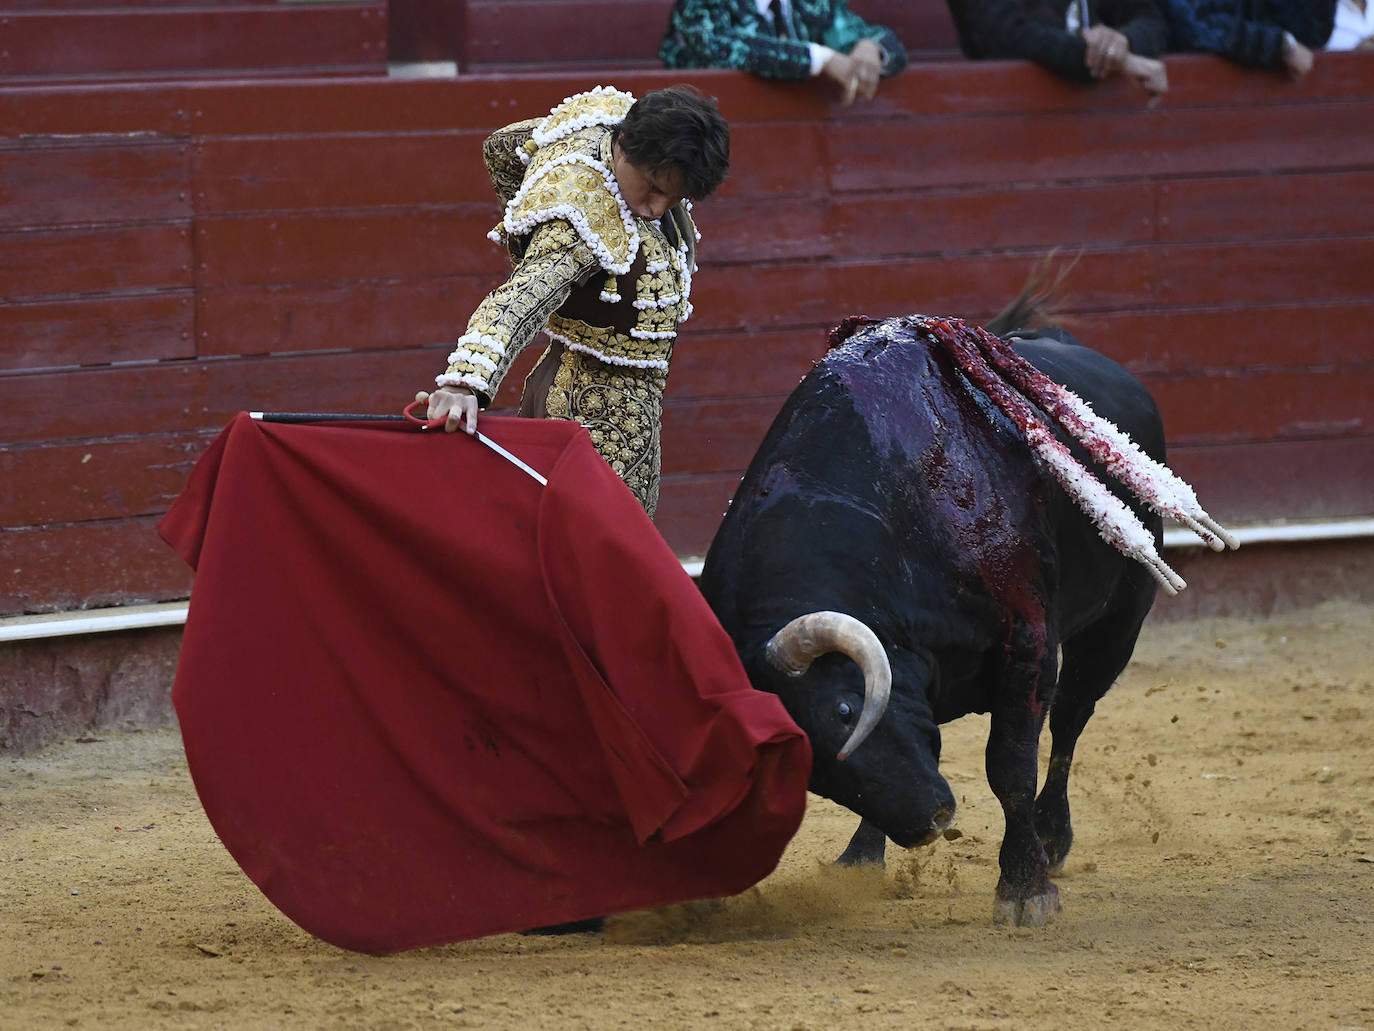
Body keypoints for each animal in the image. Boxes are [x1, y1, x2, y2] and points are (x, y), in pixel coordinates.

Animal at [697, 298, 1236, 929]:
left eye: (845, 709)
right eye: (806, 770)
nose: (928, 822)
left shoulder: (1027, 644)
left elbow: (1010, 769)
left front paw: (1025, 889)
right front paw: (860, 858)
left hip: (1116, 626)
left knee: (1070, 723)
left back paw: (1052, 838)